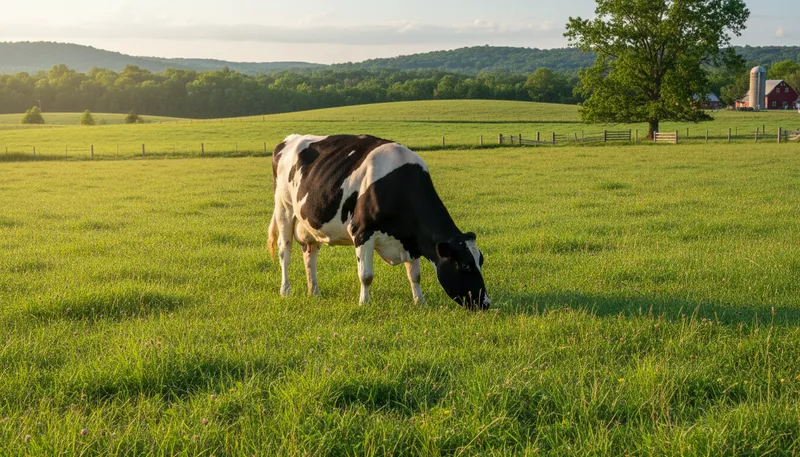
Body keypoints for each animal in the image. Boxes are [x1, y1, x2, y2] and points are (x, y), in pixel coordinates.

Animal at [268, 134, 490, 310]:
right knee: (284, 251)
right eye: (465, 266)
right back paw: (285, 290)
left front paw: (420, 302)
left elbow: (414, 275)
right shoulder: (362, 231)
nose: (486, 303)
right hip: (284, 209)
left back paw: (314, 291)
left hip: (310, 223)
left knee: (310, 255)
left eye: (480, 261)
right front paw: (364, 303)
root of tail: (289, 139)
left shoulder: (412, 241)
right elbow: (366, 275)